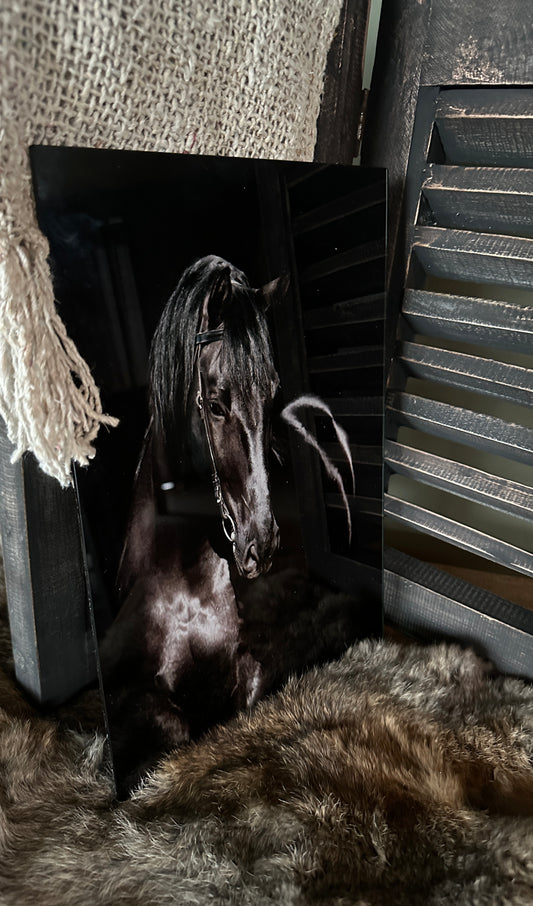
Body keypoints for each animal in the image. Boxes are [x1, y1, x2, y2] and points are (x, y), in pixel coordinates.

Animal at [100, 255, 283, 794]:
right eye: (216, 404)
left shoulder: (245, 664)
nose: (261, 544)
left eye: (272, 395)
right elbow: (172, 724)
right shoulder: (128, 696)